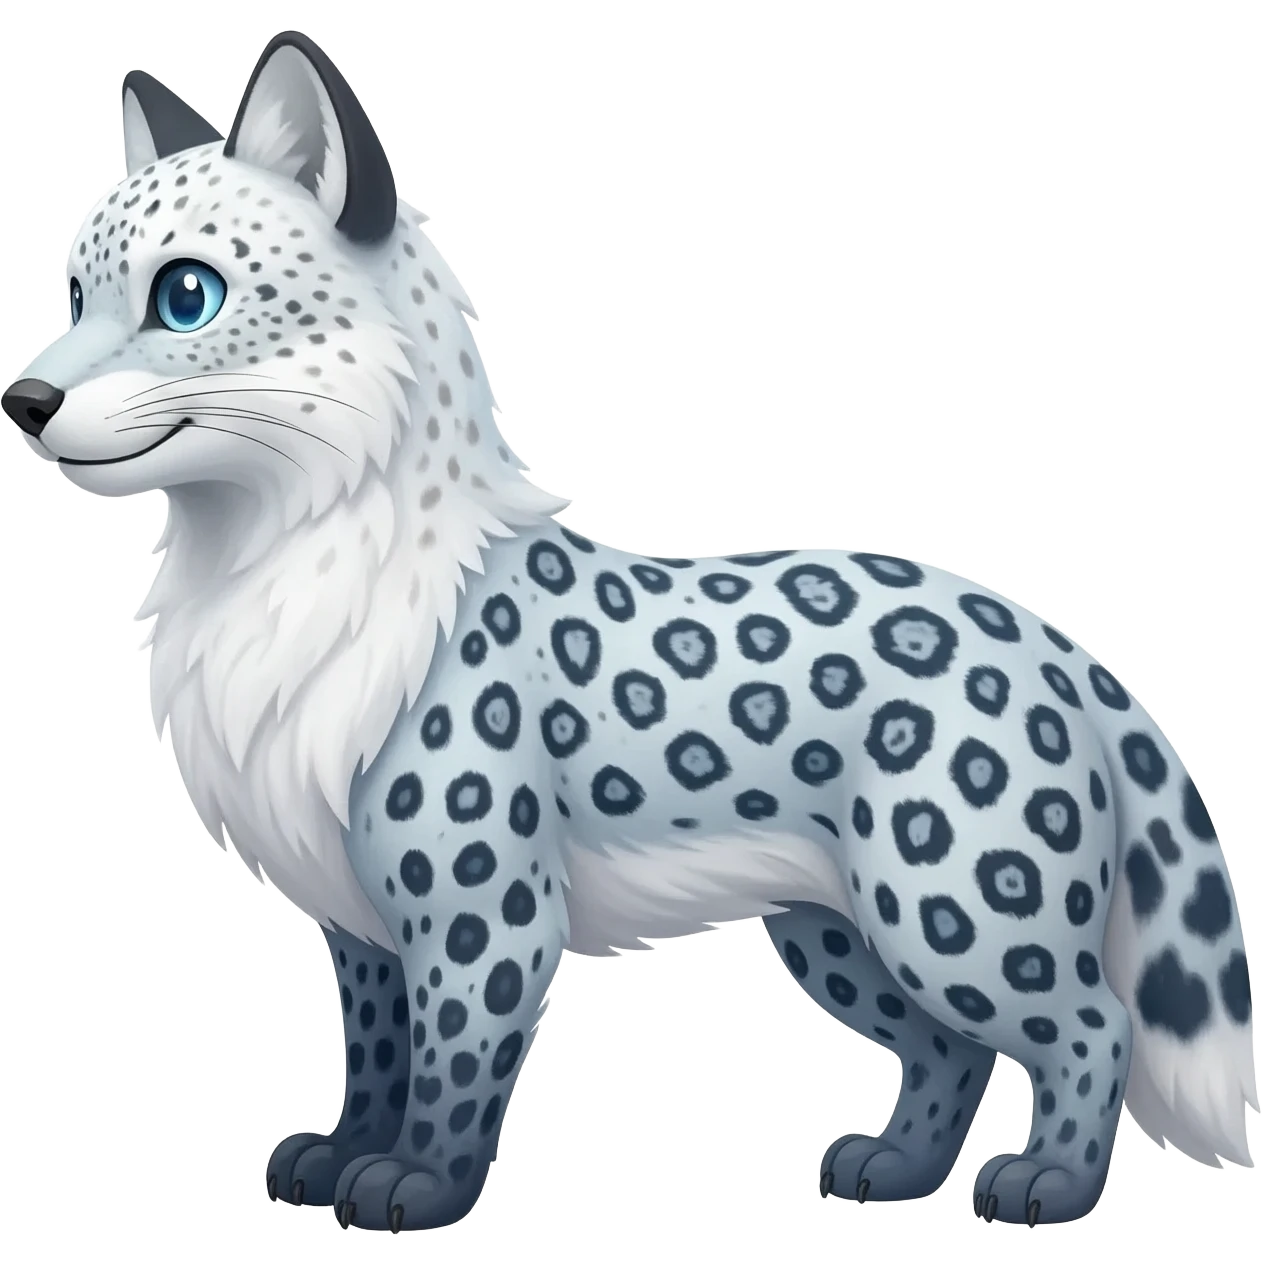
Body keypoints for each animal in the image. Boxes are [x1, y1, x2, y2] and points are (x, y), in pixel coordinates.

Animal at [4, 26, 1255, 1235]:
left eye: (185, 296)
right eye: (73, 297)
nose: (24, 399)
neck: (272, 595)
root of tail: (1046, 638)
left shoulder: (484, 915)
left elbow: (452, 1076)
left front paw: (414, 1189)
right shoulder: (359, 929)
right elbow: (379, 1061)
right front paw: (343, 1156)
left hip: (950, 921)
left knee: (1094, 1026)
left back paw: (1049, 1187)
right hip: (838, 936)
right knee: (955, 1051)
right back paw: (895, 1168)